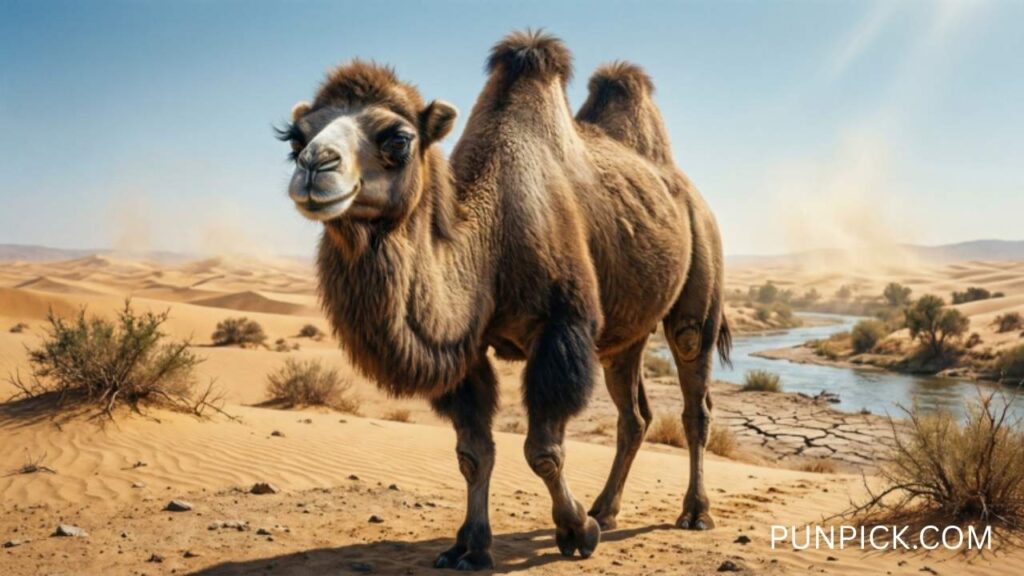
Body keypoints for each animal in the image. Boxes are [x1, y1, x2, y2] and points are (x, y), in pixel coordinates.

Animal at [277, 30, 730, 570]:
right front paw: (470, 545)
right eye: (295, 138)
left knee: (693, 393)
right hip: (625, 331)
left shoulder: (562, 327)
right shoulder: (467, 348)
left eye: (398, 139)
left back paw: (694, 513)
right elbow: (474, 453)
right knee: (633, 414)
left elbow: (542, 451)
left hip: (700, 281)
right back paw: (607, 507)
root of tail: (685, 189)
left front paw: (576, 531)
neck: (491, 238)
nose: (314, 167)